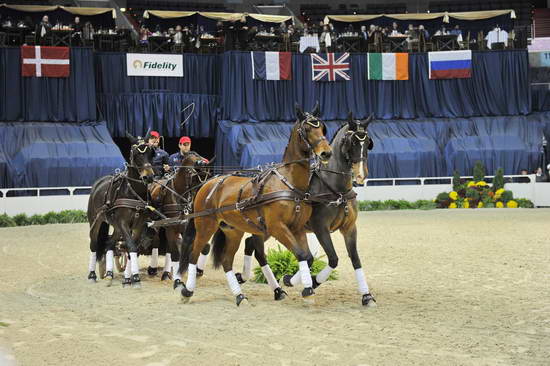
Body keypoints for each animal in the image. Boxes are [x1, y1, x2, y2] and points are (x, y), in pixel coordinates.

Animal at [87, 133, 155, 288]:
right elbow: (131, 246)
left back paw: (109, 275)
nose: (148, 176)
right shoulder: (123, 223)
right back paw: (92, 275)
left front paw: (128, 279)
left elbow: (131, 248)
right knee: (94, 244)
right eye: (136, 154)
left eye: (151, 153)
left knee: (109, 244)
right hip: (95, 221)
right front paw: (135, 278)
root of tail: (98, 184)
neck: (132, 192)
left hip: (116, 226)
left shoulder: (138, 225)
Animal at [180, 103, 332, 306]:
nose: (326, 152)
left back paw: (239, 296)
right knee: (194, 254)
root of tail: (209, 182)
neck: (289, 183)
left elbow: (307, 257)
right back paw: (187, 291)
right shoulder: (277, 227)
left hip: (233, 230)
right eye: (306, 129)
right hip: (205, 226)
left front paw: (298, 285)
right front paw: (306, 289)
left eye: (322, 128)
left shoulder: (297, 228)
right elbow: (300, 255)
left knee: (226, 261)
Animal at [242, 113, 380, 306]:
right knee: (256, 248)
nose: (361, 175)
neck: (336, 189)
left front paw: (366, 296)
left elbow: (355, 259)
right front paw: (305, 281)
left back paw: (245, 278)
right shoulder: (320, 228)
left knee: (250, 244)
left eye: (367, 142)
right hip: (268, 226)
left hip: (270, 229)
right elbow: (332, 259)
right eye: (351, 142)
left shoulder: (349, 228)